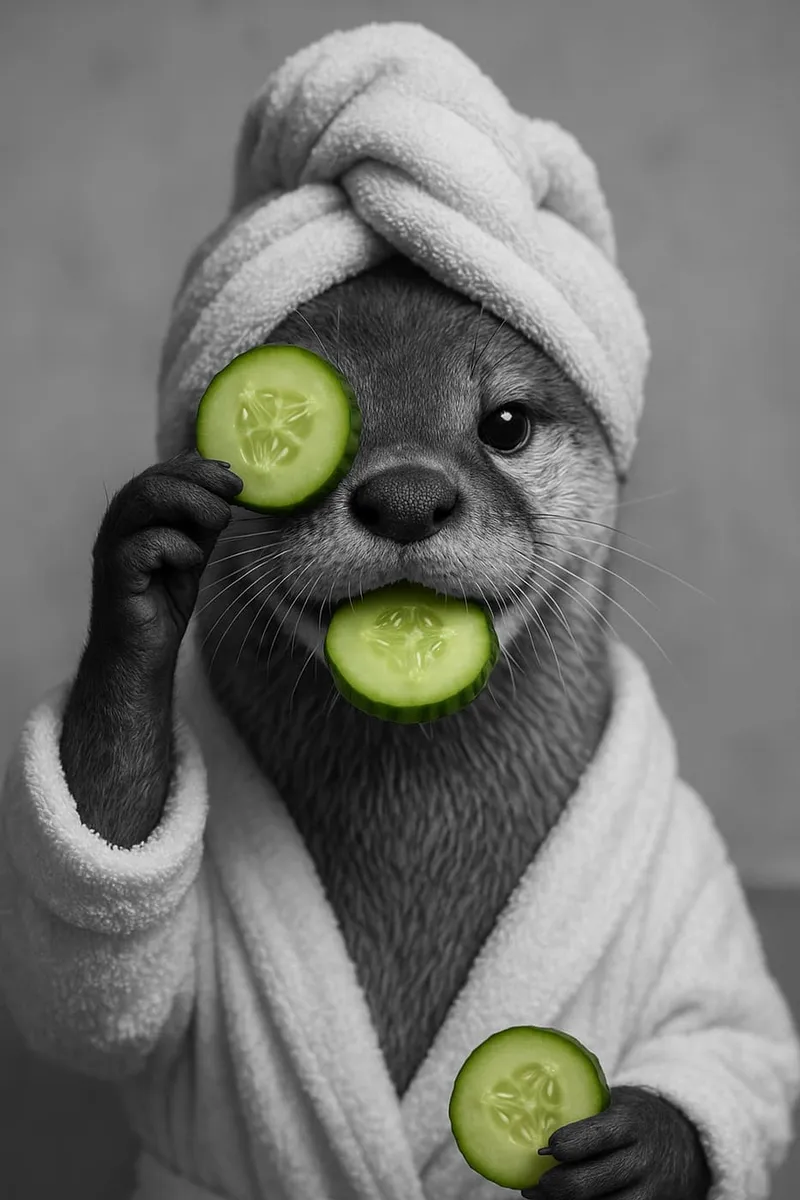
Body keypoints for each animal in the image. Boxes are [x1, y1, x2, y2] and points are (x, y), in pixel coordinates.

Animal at [57, 255, 711, 1198]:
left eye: (505, 423)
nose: (406, 497)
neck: (418, 840)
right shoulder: (155, 978)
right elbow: (100, 1003)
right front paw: (144, 566)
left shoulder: (686, 878)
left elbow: (728, 1029)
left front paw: (642, 1150)